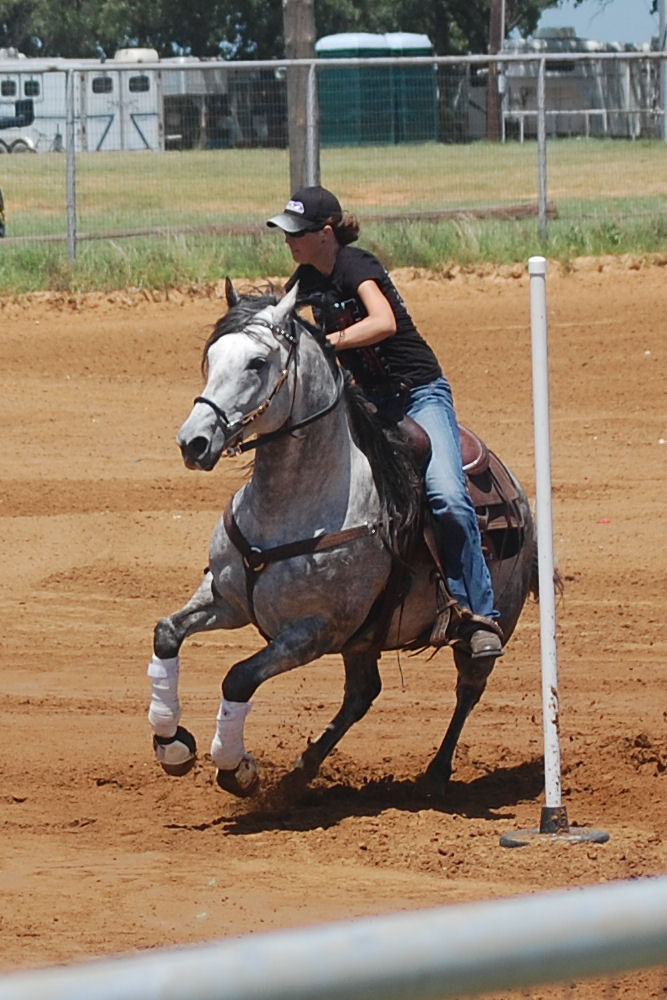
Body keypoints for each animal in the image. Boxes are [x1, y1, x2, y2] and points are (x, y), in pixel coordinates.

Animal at [147, 281, 537, 799]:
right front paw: (171, 743)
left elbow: (238, 678)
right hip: (363, 640)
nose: (193, 442)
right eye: (211, 358)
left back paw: (436, 773)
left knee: (469, 687)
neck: (290, 507)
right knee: (362, 694)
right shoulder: (226, 600)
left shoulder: (314, 631)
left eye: (257, 362)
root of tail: (517, 492)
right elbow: (167, 633)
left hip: (493, 620)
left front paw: (236, 767)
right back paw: (303, 769)